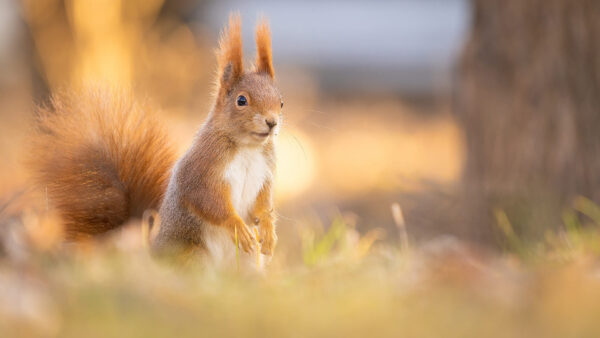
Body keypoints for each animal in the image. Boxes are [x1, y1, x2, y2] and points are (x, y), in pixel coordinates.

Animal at [27, 13, 282, 266]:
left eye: (280, 102)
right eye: (241, 100)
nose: (272, 122)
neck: (248, 147)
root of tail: (152, 253)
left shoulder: (265, 173)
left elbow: (263, 203)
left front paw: (268, 231)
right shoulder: (200, 170)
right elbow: (207, 202)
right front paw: (237, 226)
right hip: (194, 255)